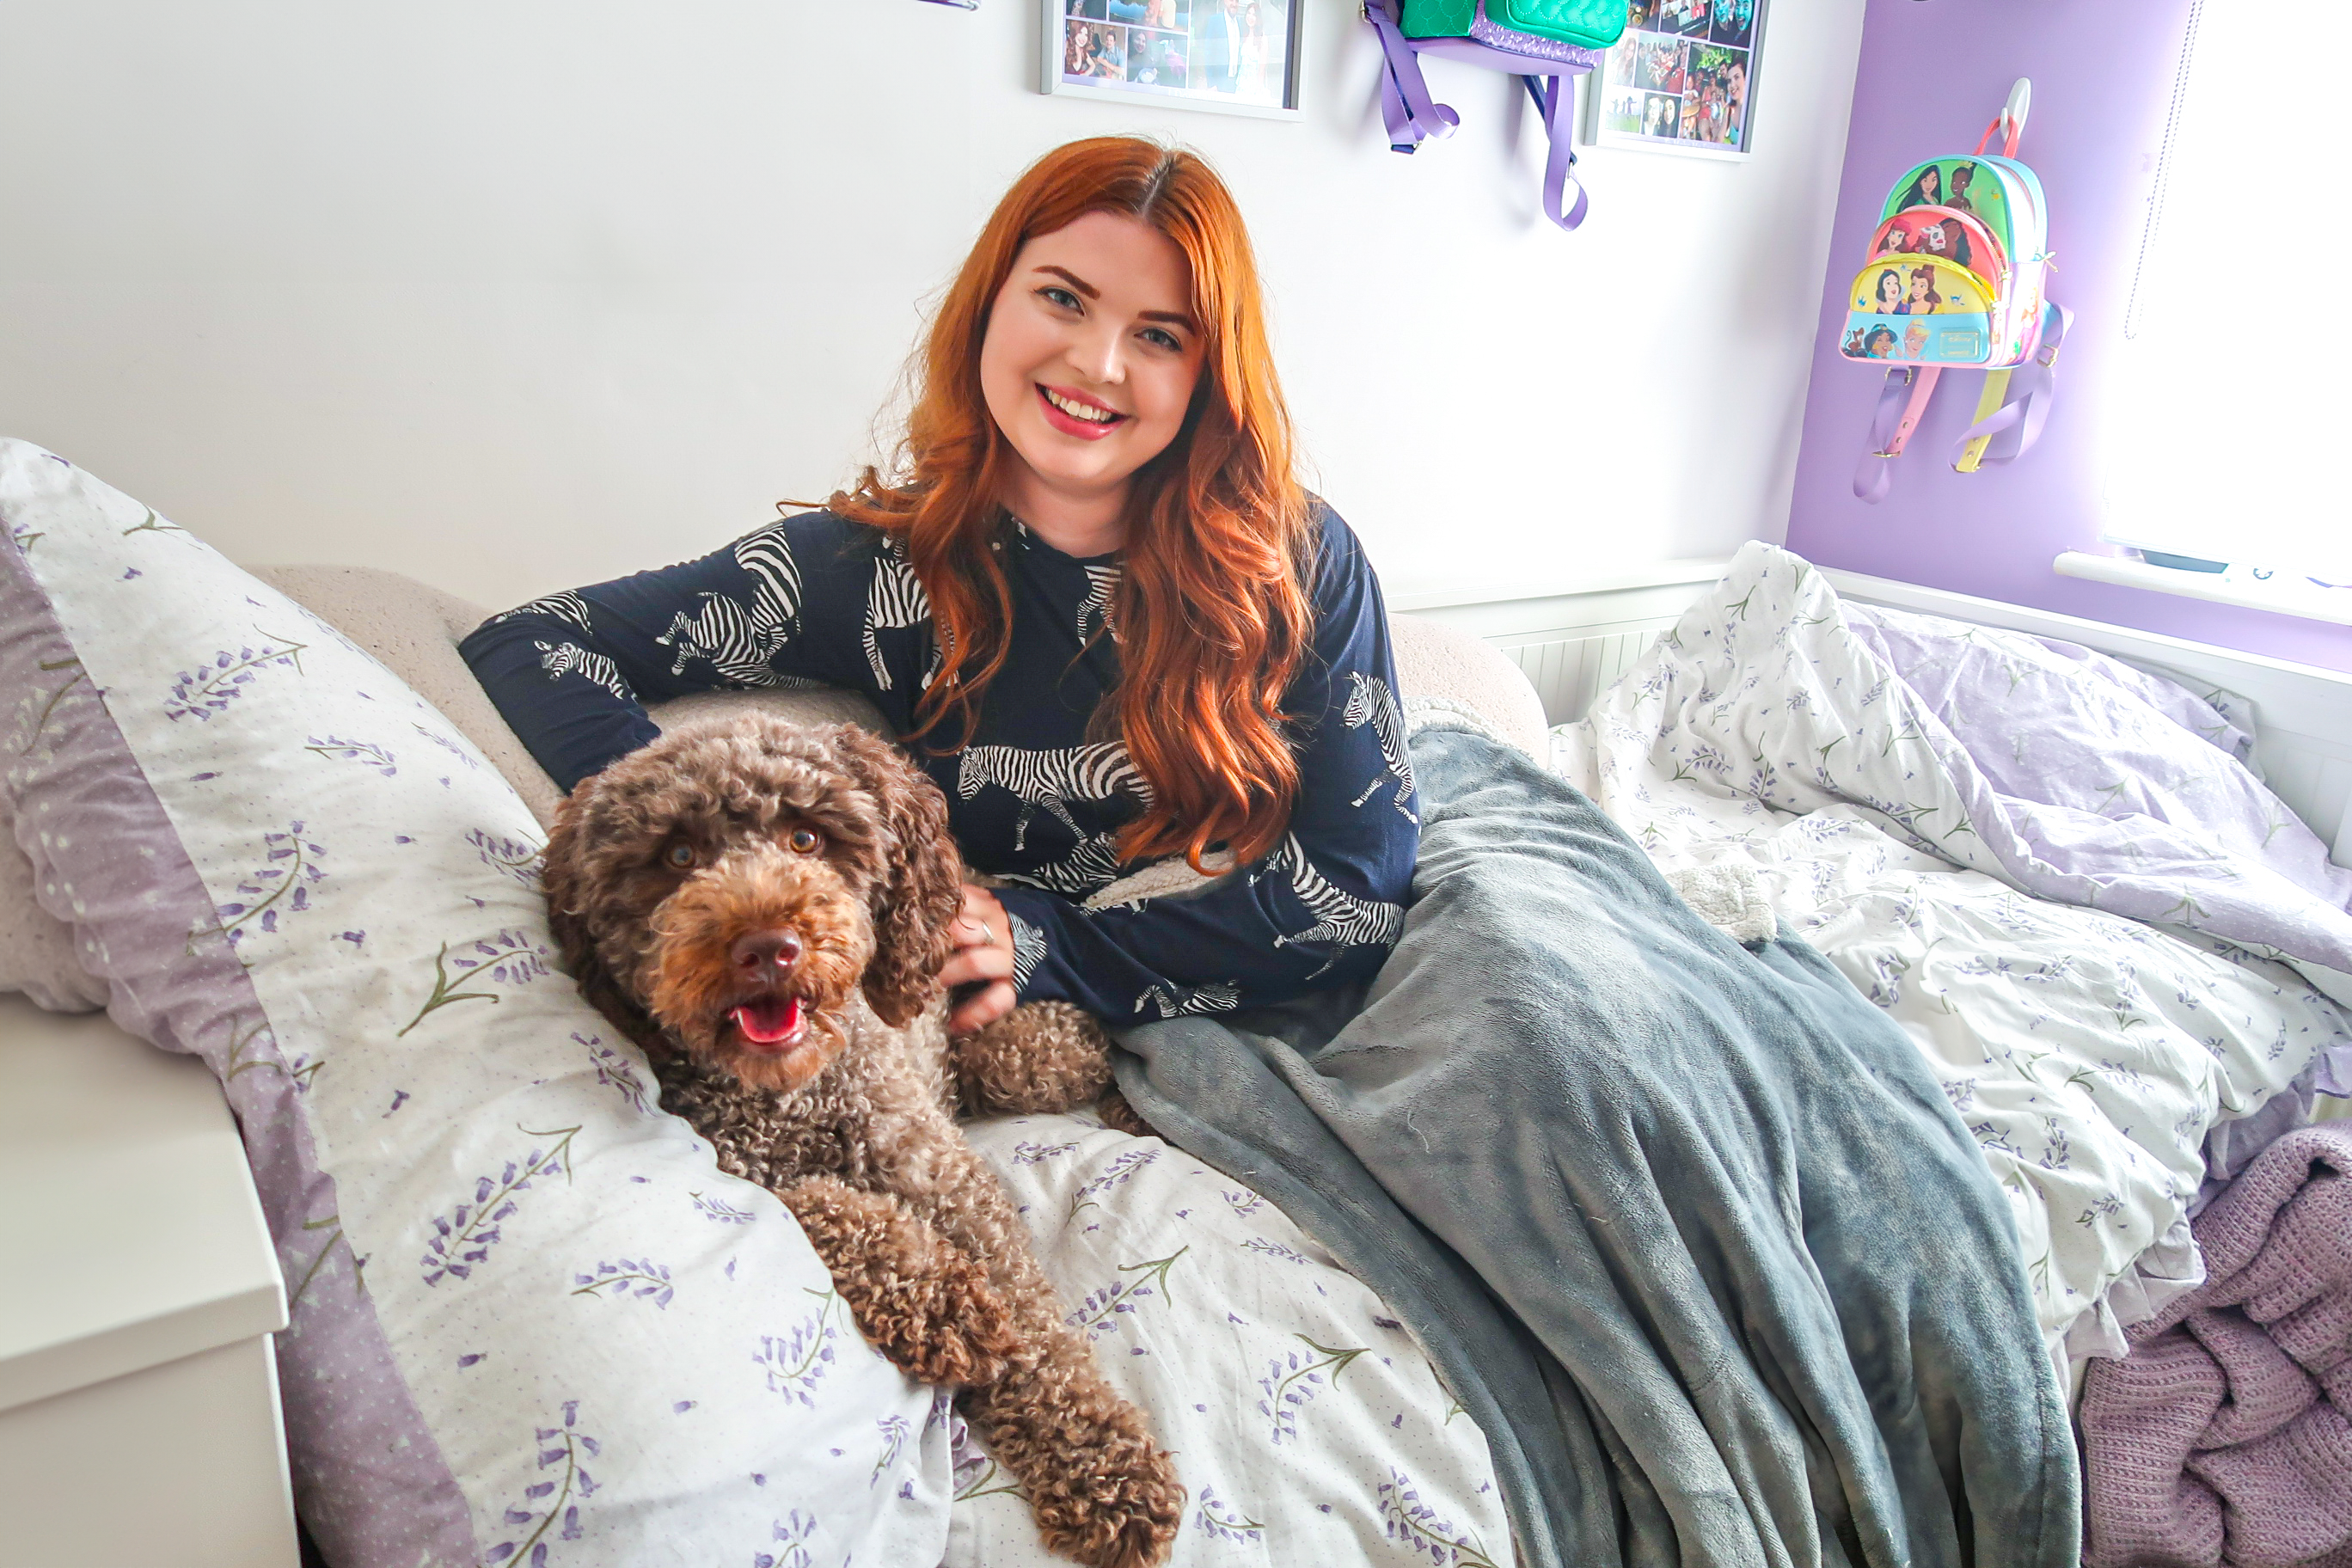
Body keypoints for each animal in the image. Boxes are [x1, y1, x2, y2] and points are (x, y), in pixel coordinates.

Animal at [541, 714, 1185, 1568]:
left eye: (807, 837)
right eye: (677, 857)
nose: (767, 946)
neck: (796, 1095)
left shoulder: (943, 1178)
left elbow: (1036, 1332)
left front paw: (1104, 1467)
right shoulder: (743, 1167)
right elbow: (827, 1208)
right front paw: (943, 1301)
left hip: (1028, 1059)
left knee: (1096, 1051)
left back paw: (1136, 1112)